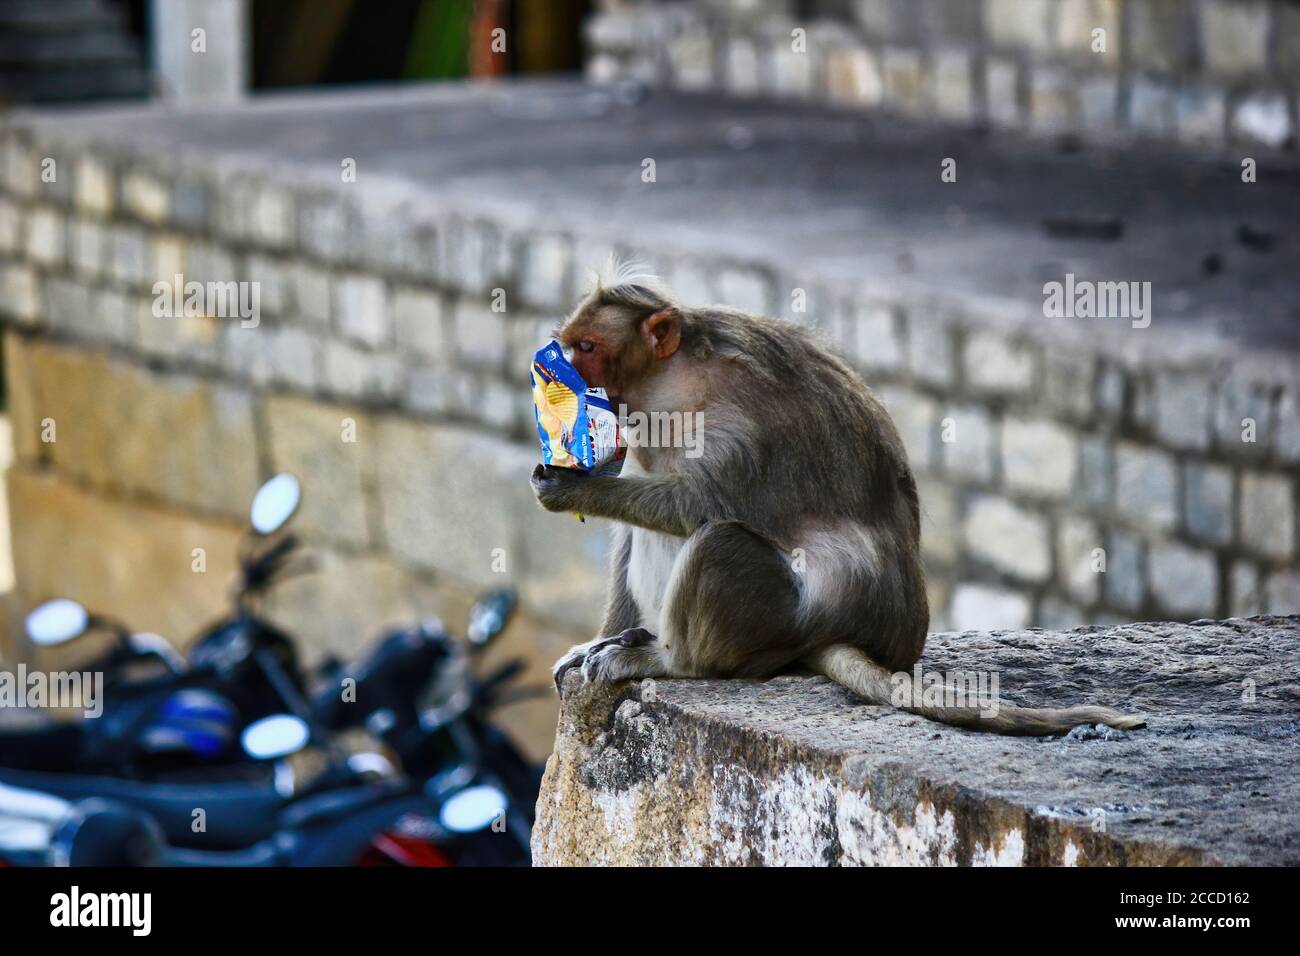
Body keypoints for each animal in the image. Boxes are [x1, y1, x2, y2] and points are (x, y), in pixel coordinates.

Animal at [527, 265, 1138, 738]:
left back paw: (671, 660)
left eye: (587, 346)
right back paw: (635, 637)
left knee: (717, 541)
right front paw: (592, 640)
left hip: (773, 622)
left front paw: (572, 488)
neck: (669, 381)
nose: (561, 369)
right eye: (572, 342)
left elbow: (698, 503)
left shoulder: (741, 422)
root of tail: (833, 632)